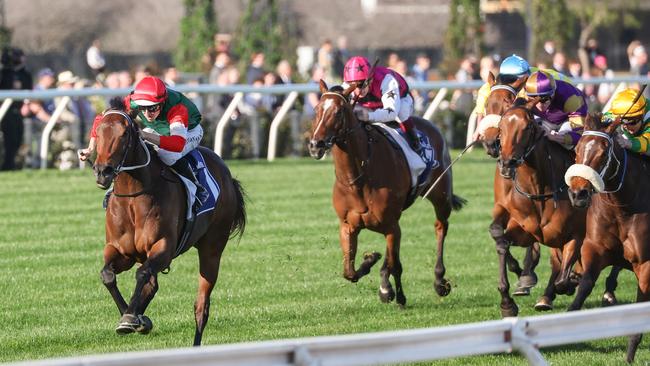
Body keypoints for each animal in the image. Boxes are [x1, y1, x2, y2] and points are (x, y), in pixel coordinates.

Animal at [90, 98, 244, 346]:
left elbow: (142, 274)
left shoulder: (163, 247)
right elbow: (107, 275)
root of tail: (228, 176)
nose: (103, 171)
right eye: (98, 130)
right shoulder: (120, 251)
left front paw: (132, 318)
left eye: (124, 133)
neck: (133, 198)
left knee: (201, 306)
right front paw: (132, 317)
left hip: (212, 248)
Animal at [306, 81, 464, 306]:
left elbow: (394, 264)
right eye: (317, 109)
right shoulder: (348, 226)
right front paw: (372, 260)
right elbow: (350, 272)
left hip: (440, 195)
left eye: (338, 112)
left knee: (441, 227)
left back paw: (440, 280)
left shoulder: (391, 226)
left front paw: (390, 291)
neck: (358, 179)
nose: (315, 145)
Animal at [492, 98, 584, 316]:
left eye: (527, 127)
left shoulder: (576, 234)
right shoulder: (526, 230)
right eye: (501, 126)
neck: (538, 188)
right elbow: (502, 242)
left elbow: (563, 278)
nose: (507, 163)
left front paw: (571, 282)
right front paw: (507, 303)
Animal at [560, 115, 648, 364]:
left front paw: (630, 354)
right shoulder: (594, 249)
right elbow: (585, 286)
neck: (622, 207)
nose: (577, 193)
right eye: (577, 149)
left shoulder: (645, 263)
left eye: (602, 153)